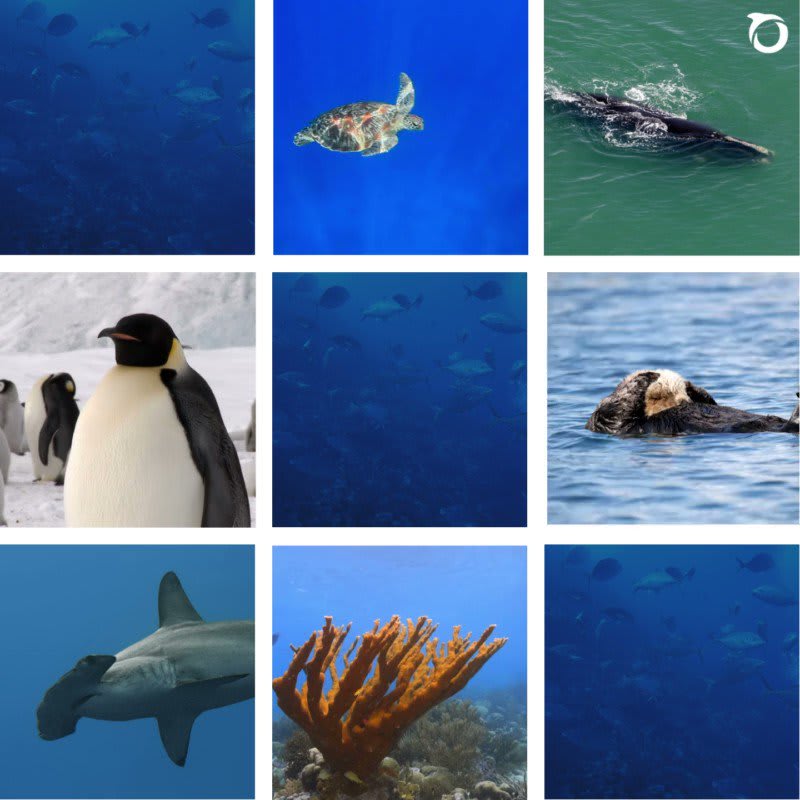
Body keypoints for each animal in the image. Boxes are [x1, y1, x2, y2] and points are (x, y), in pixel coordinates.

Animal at [586, 370, 799, 436]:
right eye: (657, 397)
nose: (683, 401)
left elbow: (710, 401)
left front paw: (692, 388)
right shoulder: (611, 421)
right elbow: (616, 407)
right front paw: (646, 376)